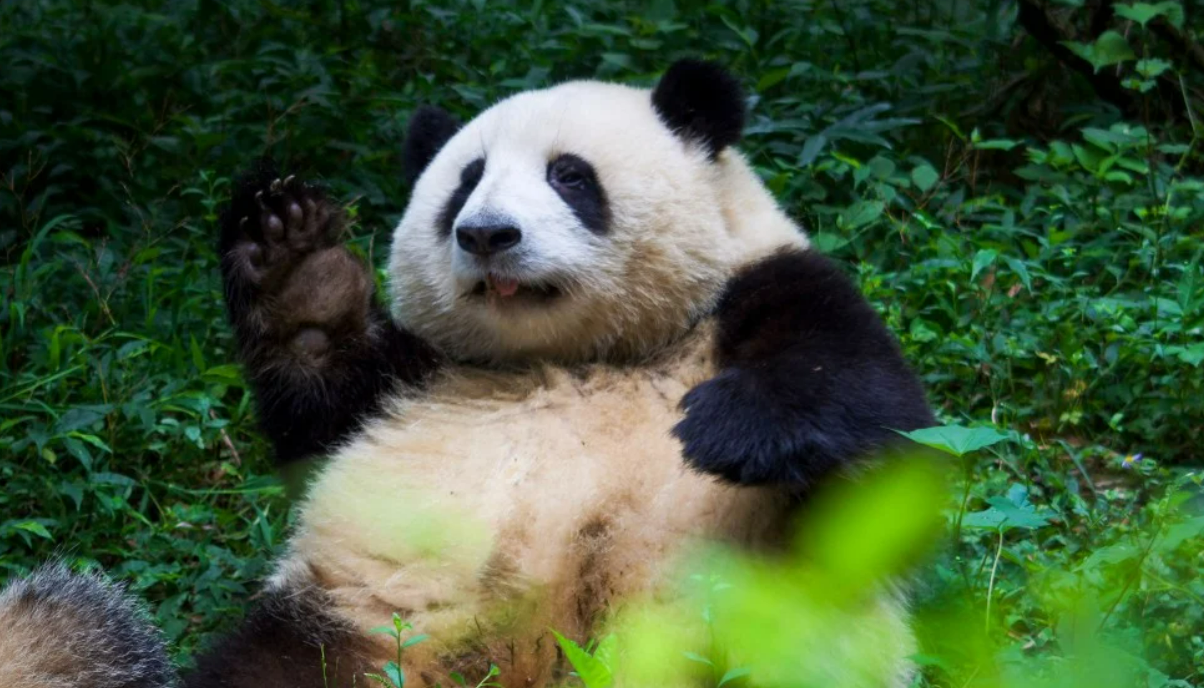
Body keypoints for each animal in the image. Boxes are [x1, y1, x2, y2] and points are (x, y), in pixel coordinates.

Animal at [0, 60, 933, 688]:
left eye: (569, 174)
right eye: (465, 182)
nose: (487, 234)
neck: (570, 356)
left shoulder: (765, 288)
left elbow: (877, 415)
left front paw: (725, 430)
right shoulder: (418, 376)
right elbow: (319, 408)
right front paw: (297, 268)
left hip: (756, 640)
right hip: (351, 633)